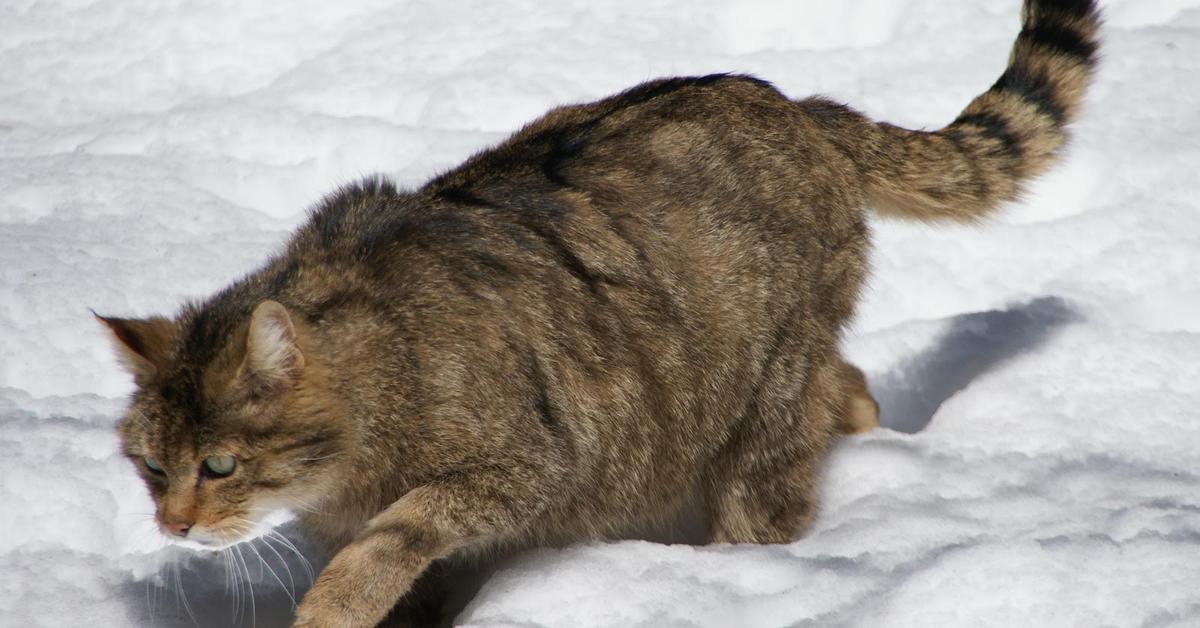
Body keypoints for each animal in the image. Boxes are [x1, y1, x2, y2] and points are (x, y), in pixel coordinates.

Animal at [100, 2, 1099, 624]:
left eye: (220, 465)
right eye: (150, 466)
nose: (172, 527)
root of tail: (788, 100)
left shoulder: (528, 460)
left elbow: (404, 527)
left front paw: (336, 602)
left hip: (758, 409)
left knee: (775, 483)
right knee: (847, 386)